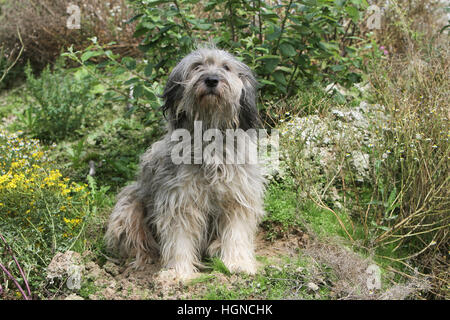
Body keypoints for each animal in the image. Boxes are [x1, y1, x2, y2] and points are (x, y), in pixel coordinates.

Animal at [104, 46, 268, 278]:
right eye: (197, 66)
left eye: (226, 67)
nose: (211, 80)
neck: (209, 136)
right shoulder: (179, 200)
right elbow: (179, 238)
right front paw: (179, 273)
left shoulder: (238, 197)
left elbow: (236, 233)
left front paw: (238, 264)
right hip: (129, 207)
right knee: (138, 242)